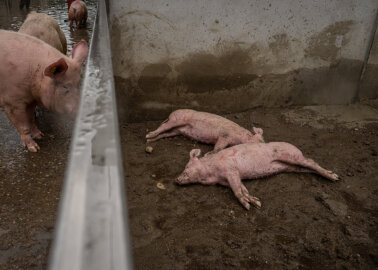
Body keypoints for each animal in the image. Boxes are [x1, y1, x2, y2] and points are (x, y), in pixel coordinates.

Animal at [177, 142, 340, 210]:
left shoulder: (231, 169)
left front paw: (249, 206)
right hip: (292, 167)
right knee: (308, 167)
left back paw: (335, 178)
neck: (212, 174)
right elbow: (242, 189)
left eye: (186, 167)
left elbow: (237, 191)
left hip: (292, 156)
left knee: (311, 161)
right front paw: (255, 202)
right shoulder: (229, 179)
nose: (176, 179)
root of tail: (295, 147)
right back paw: (332, 175)